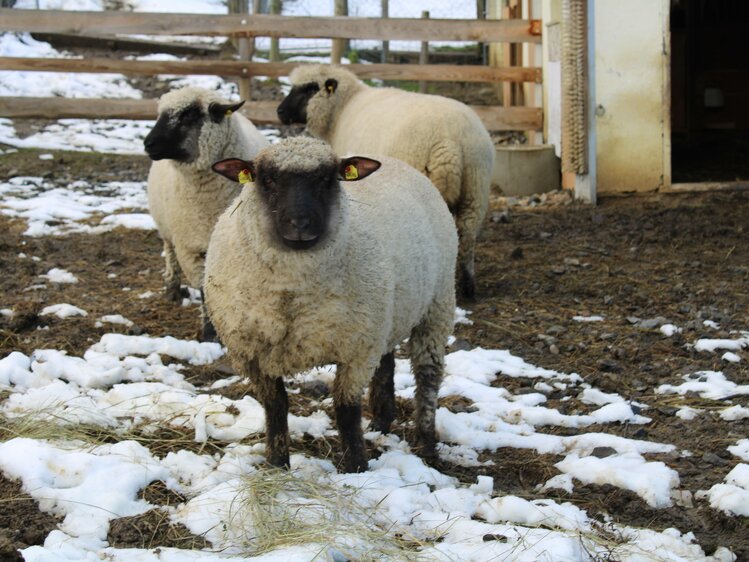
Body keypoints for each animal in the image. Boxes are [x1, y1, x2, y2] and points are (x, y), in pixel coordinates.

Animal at [143, 86, 268, 340]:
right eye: (161, 114)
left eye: (189, 115)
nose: (148, 144)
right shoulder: (191, 248)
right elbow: (204, 289)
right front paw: (210, 333)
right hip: (166, 229)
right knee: (169, 253)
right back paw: (172, 289)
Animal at [207, 137, 458, 472]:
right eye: (267, 178)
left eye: (327, 179)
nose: (299, 224)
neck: (293, 292)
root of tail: (393, 160)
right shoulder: (253, 353)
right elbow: (275, 406)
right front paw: (277, 463)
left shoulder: (355, 350)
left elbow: (346, 408)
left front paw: (355, 467)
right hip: (386, 314)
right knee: (387, 361)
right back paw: (381, 421)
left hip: (437, 304)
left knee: (428, 373)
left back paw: (427, 442)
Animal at [278, 64, 494, 302]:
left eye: (309, 89)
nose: (280, 112)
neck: (343, 108)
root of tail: (449, 140)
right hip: (476, 187)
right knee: (467, 235)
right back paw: (468, 287)